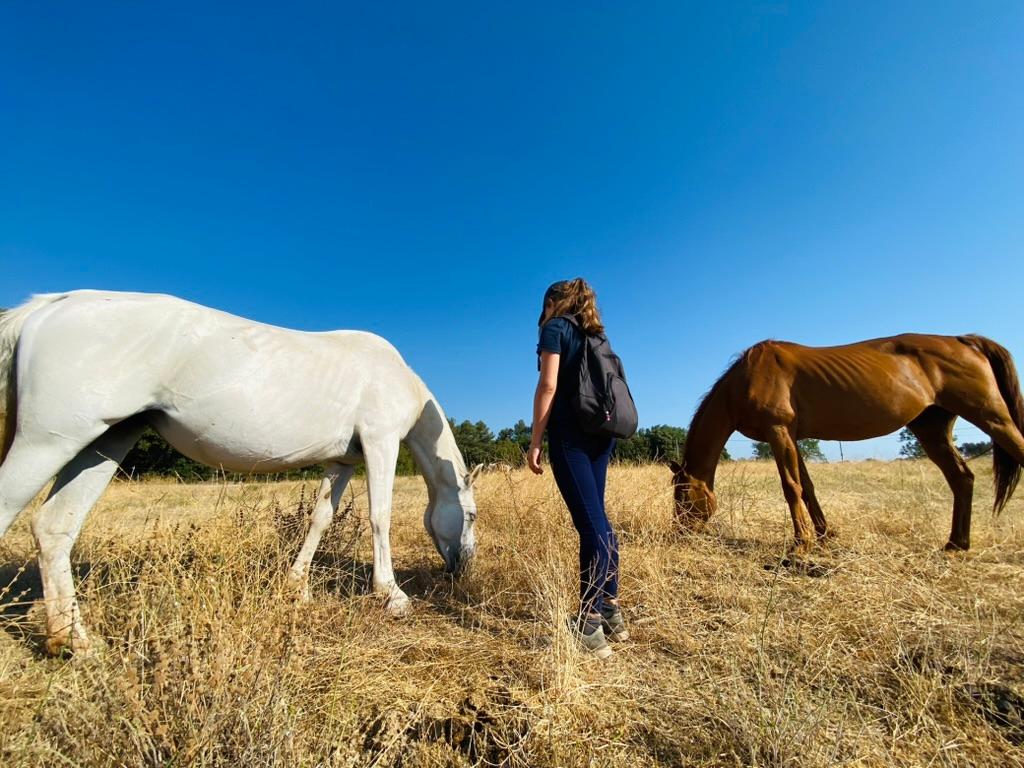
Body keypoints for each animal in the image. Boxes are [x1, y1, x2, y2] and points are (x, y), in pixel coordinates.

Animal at [0, 290, 482, 655]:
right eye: (472, 515)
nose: (464, 567)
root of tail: (49, 305)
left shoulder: (342, 462)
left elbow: (320, 519)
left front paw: (297, 587)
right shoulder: (380, 444)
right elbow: (380, 516)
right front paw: (391, 594)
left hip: (105, 442)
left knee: (54, 528)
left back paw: (75, 643)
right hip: (48, 441)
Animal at [669, 334, 1024, 553]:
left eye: (683, 496)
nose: (680, 533)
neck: (745, 380)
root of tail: (965, 340)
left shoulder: (778, 431)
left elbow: (790, 487)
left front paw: (801, 544)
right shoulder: (792, 437)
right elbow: (807, 488)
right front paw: (824, 534)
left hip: (991, 417)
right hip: (931, 429)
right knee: (961, 479)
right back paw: (954, 545)